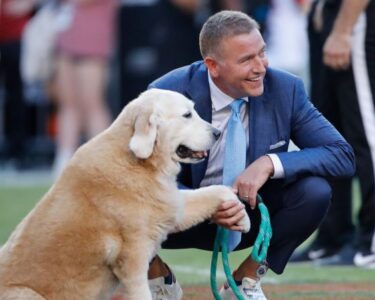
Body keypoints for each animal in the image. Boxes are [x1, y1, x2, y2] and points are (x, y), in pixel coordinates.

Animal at [0, 88, 253, 298]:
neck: (138, 161)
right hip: (26, 294)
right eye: (187, 115)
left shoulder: (171, 205)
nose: (218, 132)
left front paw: (241, 217)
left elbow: (216, 190)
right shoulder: (133, 261)